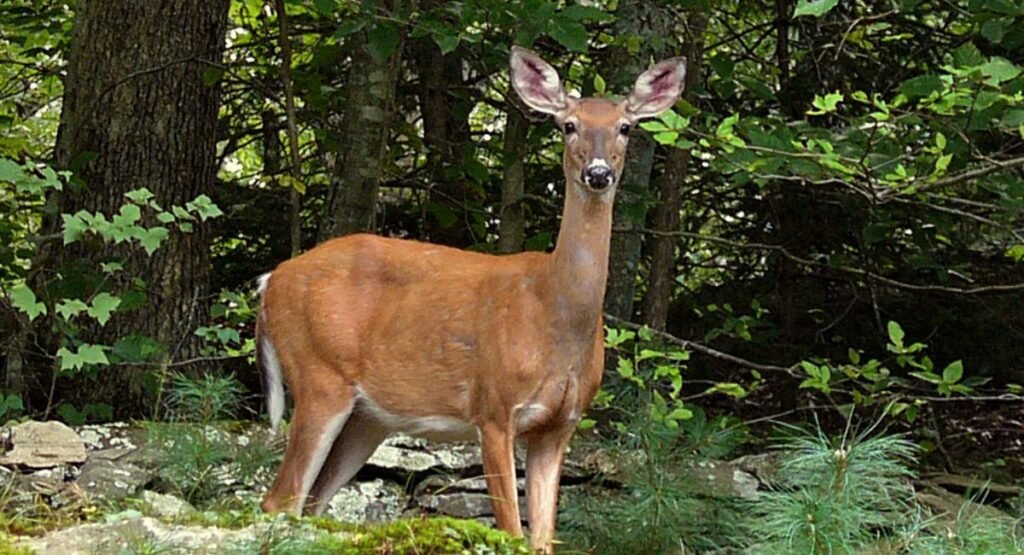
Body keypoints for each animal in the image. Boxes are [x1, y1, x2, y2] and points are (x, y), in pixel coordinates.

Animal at [256, 45, 686, 552]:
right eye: (568, 125)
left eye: (625, 126)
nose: (598, 173)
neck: (553, 314)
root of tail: (270, 280)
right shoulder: (494, 407)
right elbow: (511, 530)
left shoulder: (560, 426)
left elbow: (541, 539)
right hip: (319, 372)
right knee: (280, 499)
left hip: (368, 417)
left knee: (313, 501)